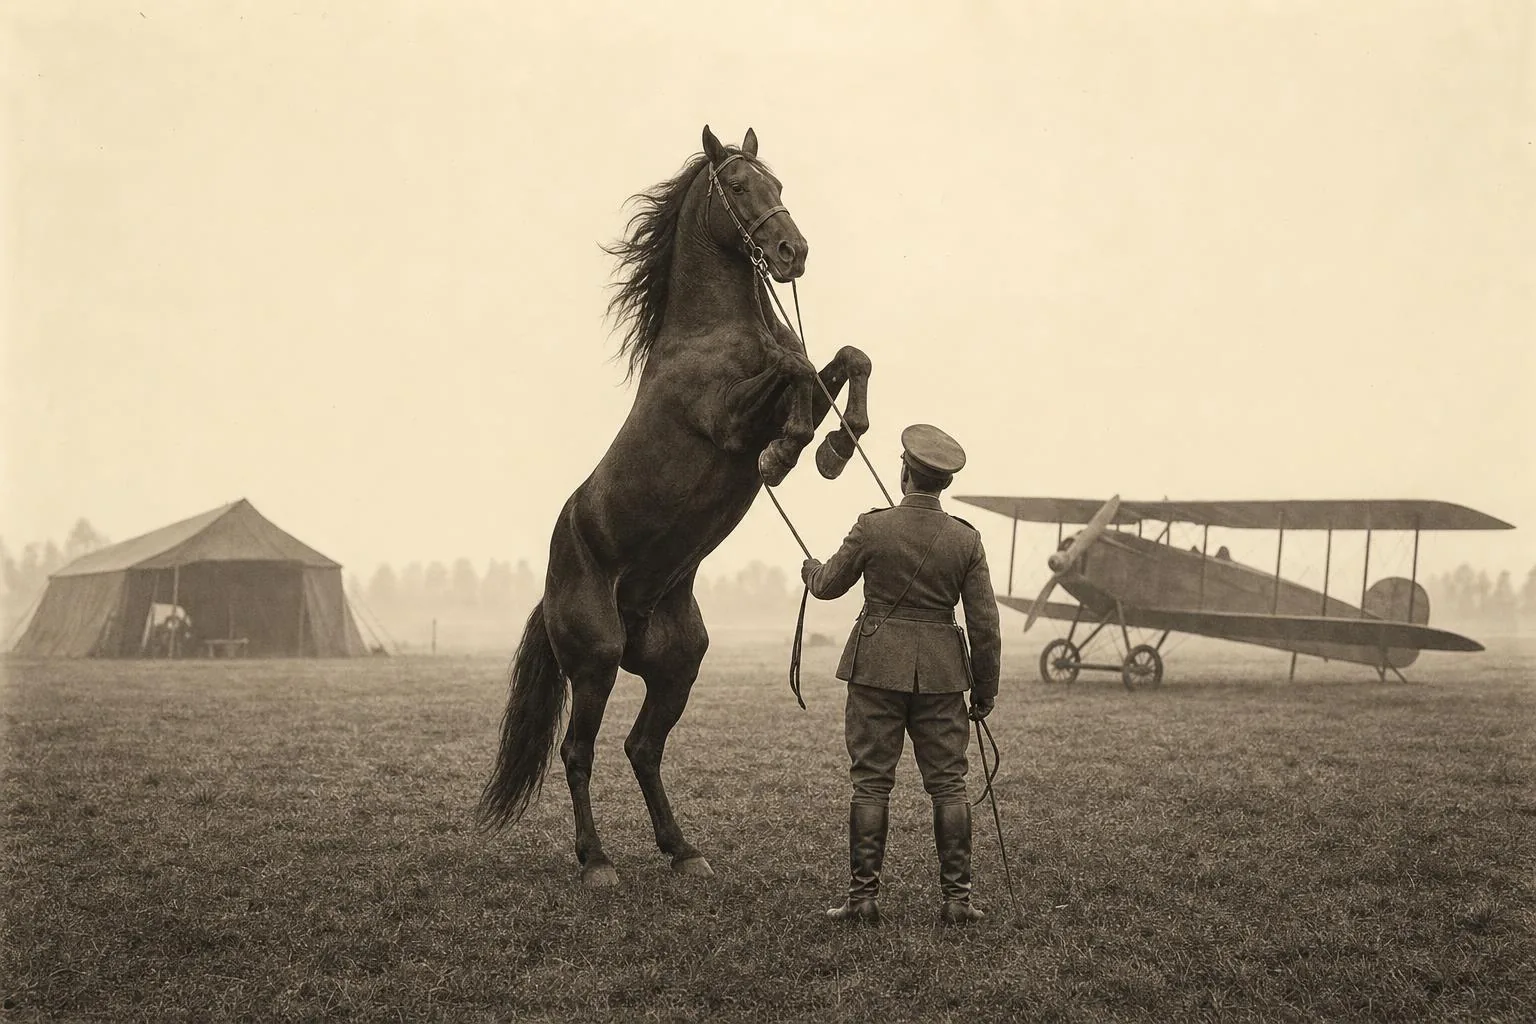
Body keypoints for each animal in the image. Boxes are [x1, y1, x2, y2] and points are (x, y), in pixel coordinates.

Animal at [475, 126, 874, 887]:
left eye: (779, 184)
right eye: (741, 187)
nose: (794, 253)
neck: (713, 333)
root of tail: (554, 586)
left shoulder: (803, 380)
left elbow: (845, 358)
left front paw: (839, 443)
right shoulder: (730, 419)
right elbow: (797, 372)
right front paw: (790, 453)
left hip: (677, 664)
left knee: (642, 747)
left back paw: (683, 849)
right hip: (595, 661)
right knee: (579, 751)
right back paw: (598, 862)